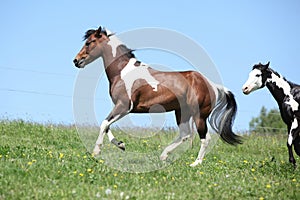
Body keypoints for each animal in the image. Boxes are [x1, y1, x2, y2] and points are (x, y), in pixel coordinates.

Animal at [74, 26, 243, 167]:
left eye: (89, 42)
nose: (76, 60)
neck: (123, 72)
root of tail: (213, 85)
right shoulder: (119, 107)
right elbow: (106, 124)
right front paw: (121, 145)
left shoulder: (124, 106)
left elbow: (104, 124)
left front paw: (96, 151)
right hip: (182, 113)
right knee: (185, 134)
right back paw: (164, 155)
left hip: (199, 115)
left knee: (204, 138)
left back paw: (195, 163)